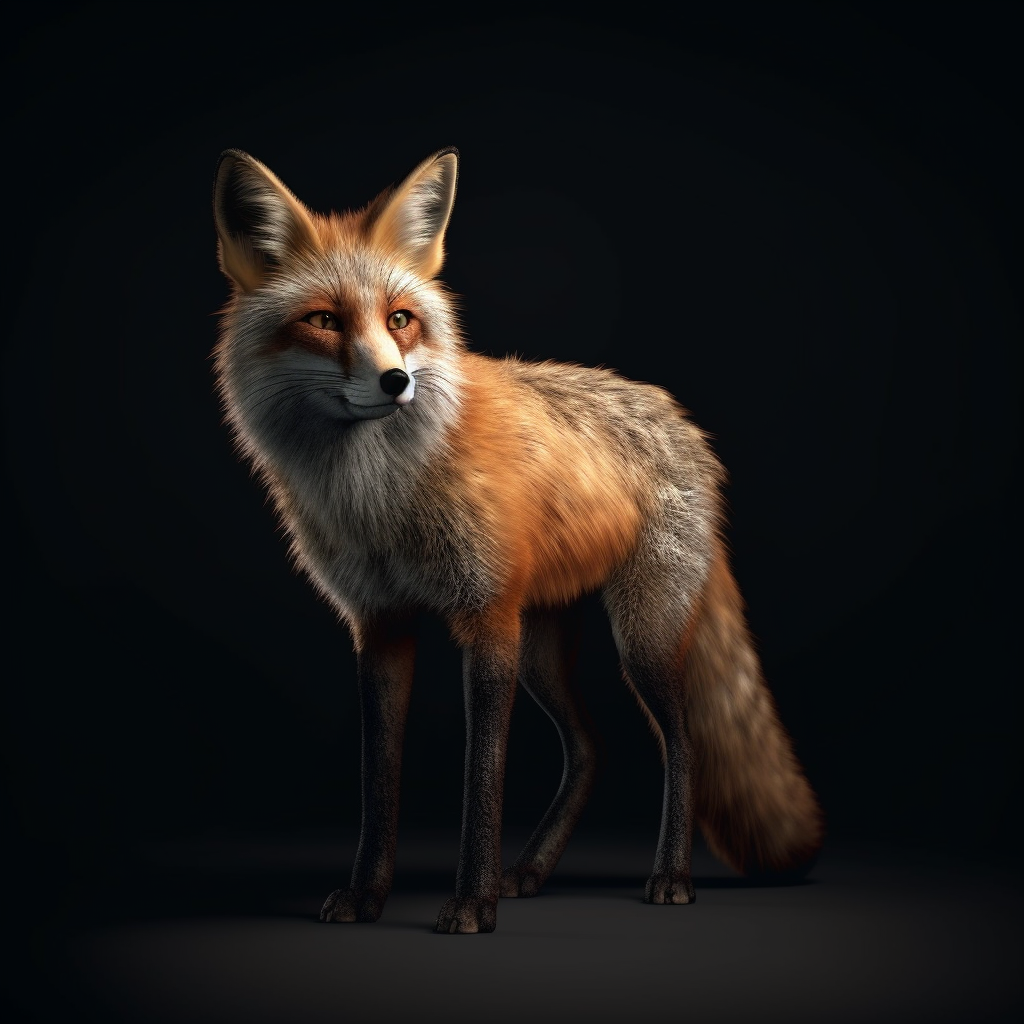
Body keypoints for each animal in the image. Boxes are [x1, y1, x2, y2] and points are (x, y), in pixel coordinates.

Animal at [211, 146, 824, 934]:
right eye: (323, 320)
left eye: (401, 319)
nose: (396, 381)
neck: (383, 497)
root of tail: (680, 418)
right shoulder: (381, 624)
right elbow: (379, 778)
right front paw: (368, 894)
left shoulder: (487, 616)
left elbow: (484, 777)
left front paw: (473, 901)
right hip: (544, 647)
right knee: (592, 749)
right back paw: (529, 870)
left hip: (640, 637)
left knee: (680, 741)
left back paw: (670, 876)